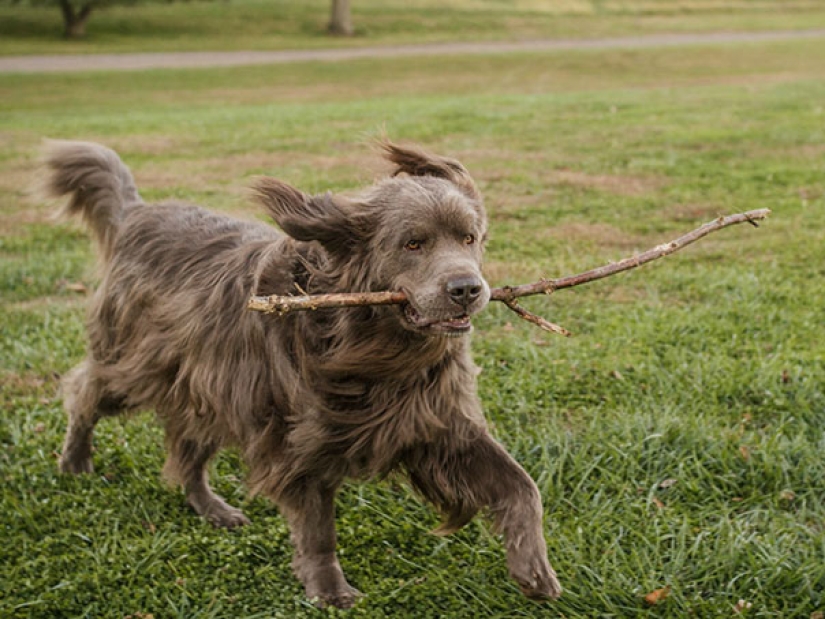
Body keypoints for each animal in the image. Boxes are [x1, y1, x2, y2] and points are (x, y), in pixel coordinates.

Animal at [43, 138, 560, 608]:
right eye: (413, 243)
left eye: (469, 238)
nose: (467, 288)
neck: (374, 347)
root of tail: (136, 215)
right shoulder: (299, 439)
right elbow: (317, 527)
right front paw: (329, 589)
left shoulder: (437, 422)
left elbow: (521, 484)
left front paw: (534, 568)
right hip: (137, 364)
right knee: (87, 392)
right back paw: (75, 461)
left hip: (209, 389)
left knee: (188, 451)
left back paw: (213, 509)